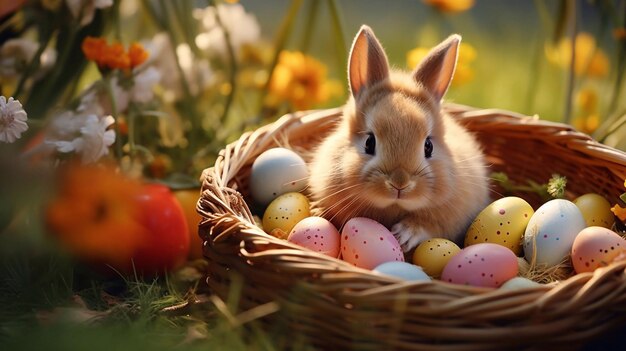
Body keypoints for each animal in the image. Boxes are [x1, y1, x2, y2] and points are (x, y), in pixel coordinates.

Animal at [308, 26, 488, 254]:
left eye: (428, 146)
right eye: (369, 142)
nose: (400, 184)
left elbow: (430, 225)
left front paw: (405, 234)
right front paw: (316, 210)